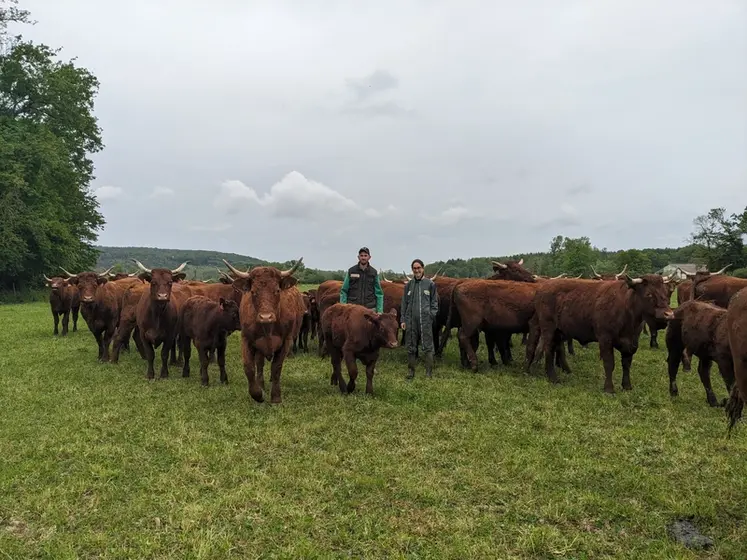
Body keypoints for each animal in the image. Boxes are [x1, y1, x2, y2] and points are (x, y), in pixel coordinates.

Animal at [222, 257, 305, 404]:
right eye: (253, 292)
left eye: (277, 290)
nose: (266, 317)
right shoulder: (247, 340)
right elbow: (249, 368)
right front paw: (258, 394)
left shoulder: (286, 341)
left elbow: (277, 367)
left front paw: (276, 397)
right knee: (260, 365)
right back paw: (261, 385)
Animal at [528, 274, 674, 393]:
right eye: (649, 294)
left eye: (665, 292)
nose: (669, 314)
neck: (626, 308)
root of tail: (542, 288)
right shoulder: (605, 339)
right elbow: (609, 363)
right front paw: (609, 388)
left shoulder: (632, 342)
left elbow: (626, 364)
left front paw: (627, 386)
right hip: (548, 328)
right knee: (548, 349)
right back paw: (553, 377)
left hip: (560, 331)